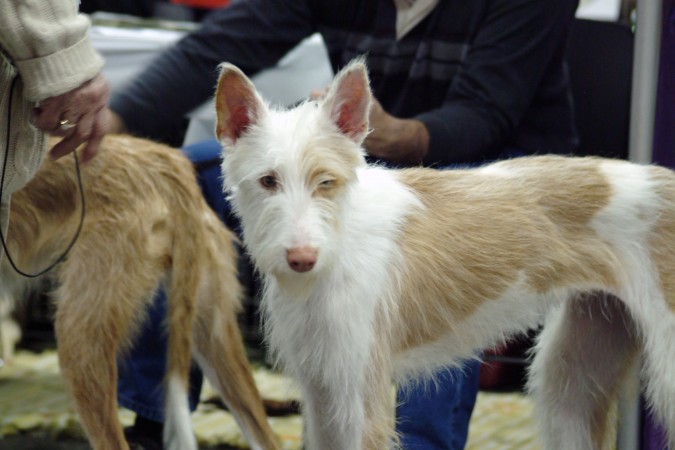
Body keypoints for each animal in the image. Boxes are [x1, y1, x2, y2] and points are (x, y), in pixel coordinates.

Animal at [214, 60, 675, 450]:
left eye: (326, 181)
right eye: (268, 181)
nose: (302, 259)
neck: (341, 244)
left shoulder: (361, 398)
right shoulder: (320, 393)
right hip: (576, 373)